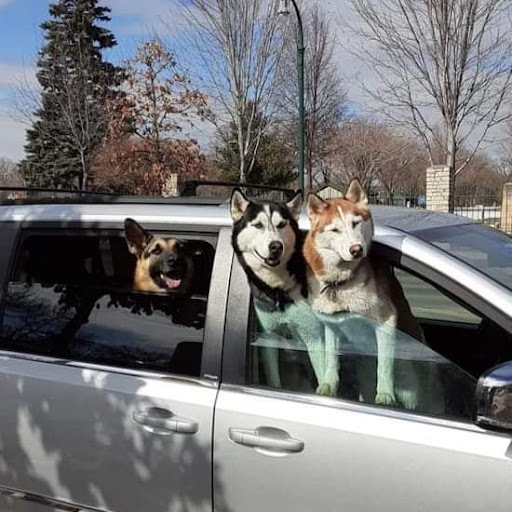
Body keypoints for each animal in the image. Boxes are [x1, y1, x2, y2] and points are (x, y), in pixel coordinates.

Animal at [304, 179, 423, 405]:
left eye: (355, 223)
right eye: (335, 230)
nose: (356, 249)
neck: (341, 283)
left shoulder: (386, 321)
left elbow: (384, 364)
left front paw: (385, 395)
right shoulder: (332, 324)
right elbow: (331, 358)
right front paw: (328, 385)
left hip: (412, 388)